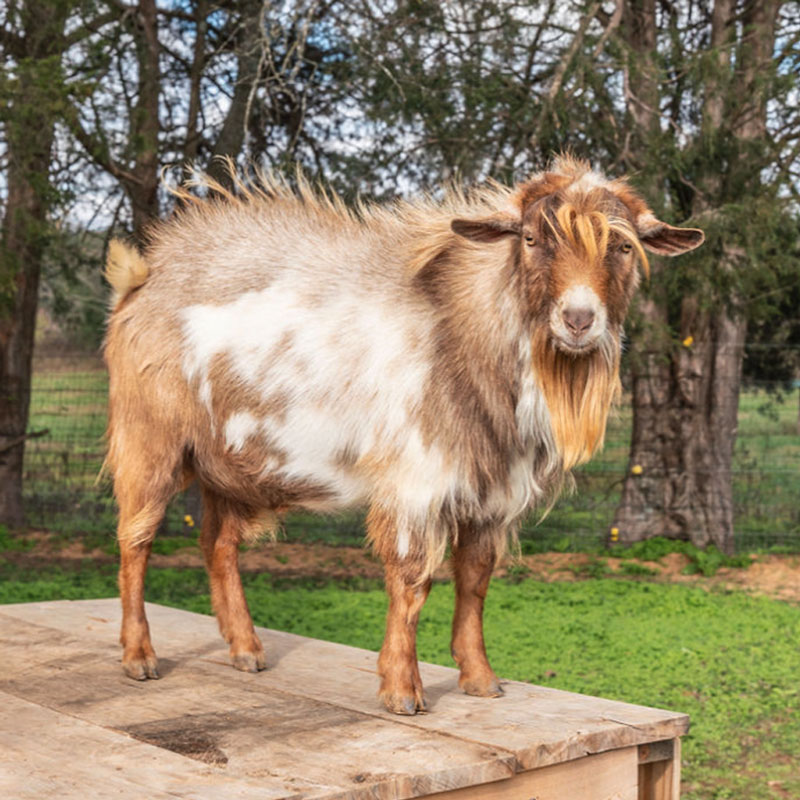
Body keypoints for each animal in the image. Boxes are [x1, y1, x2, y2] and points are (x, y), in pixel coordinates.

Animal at [104, 155, 703, 715]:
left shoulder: (491, 493)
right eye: (532, 238)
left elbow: (475, 580)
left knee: (218, 543)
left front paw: (480, 679)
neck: (462, 334)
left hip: (232, 461)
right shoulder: (416, 480)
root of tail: (144, 276)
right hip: (149, 436)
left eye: (622, 247)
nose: (579, 320)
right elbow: (413, 580)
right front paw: (400, 689)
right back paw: (139, 657)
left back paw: (246, 649)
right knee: (136, 538)